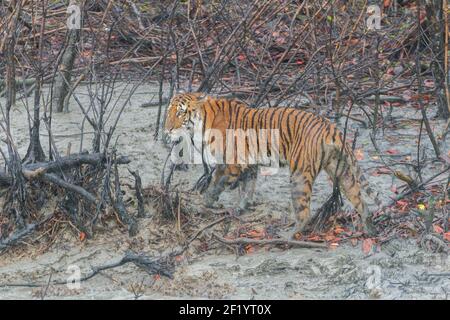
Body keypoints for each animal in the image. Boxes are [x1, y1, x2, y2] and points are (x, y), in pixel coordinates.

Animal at [163, 92, 382, 238]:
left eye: (180, 114)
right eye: (168, 112)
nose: (167, 129)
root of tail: (330, 126)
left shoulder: (232, 164)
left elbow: (216, 184)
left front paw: (206, 203)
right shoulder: (249, 164)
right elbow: (247, 188)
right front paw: (241, 208)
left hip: (299, 175)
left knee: (304, 213)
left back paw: (287, 235)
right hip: (342, 171)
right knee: (360, 201)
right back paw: (370, 230)